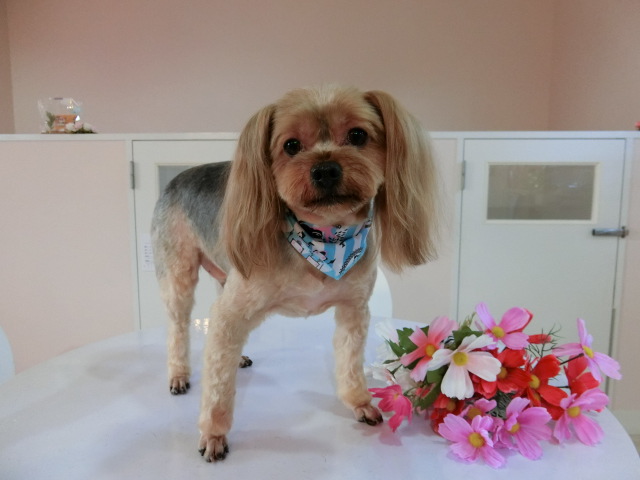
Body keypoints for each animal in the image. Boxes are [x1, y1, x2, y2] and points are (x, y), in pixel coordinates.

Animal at [151, 85, 438, 462]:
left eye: (358, 135)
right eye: (291, 145)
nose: (326, 170)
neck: (325, 237)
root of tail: (177, 178)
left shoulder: (354, 308)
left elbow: (349, 360)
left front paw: (359, 402)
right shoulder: (231, 312)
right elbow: (217, 384)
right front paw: (213, 434)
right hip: (178, 268)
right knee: (178, 325)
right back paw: (179, 373)